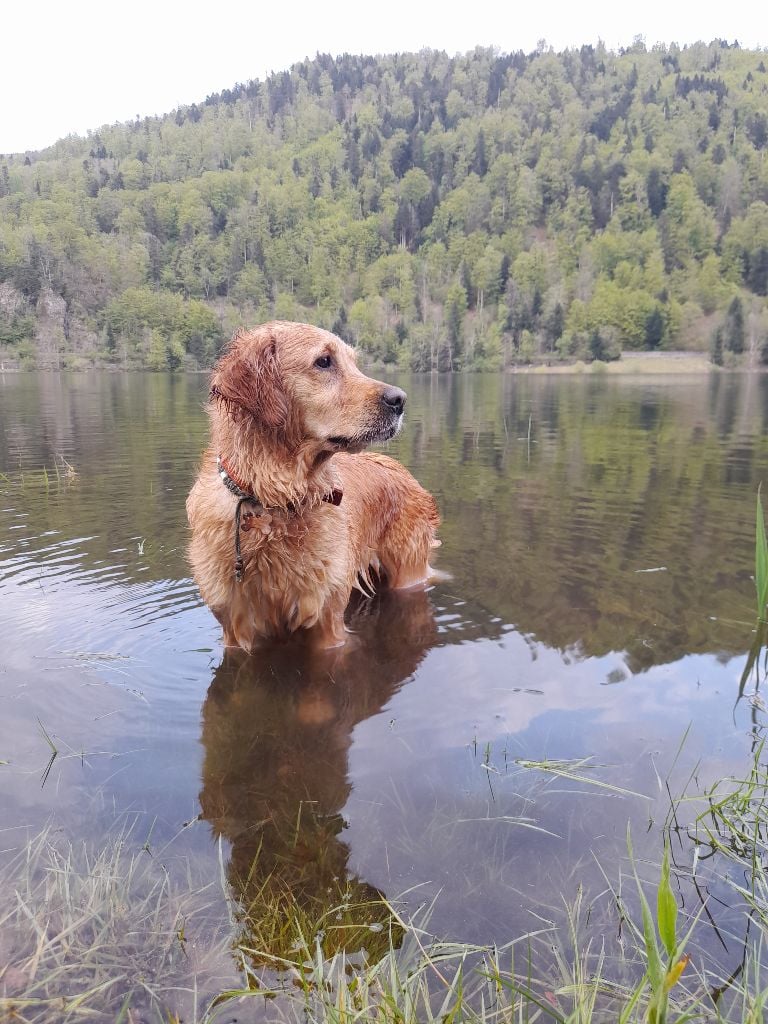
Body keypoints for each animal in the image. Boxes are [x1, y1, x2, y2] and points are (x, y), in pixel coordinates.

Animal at [185, 319, 438, 651]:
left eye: (354, 363)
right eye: (324, 361)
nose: (400, 399)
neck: (275, 502)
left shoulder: (326, 619)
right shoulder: (235, 625)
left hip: (408, 571)